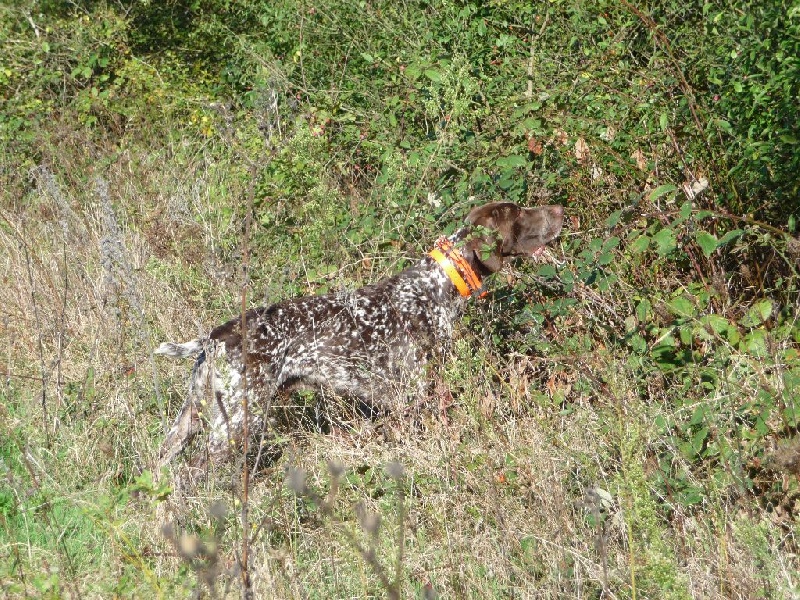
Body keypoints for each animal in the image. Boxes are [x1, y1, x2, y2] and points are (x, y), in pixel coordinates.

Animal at [156, 204, 564, 472]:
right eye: (520, 213)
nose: (560, 209)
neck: (435, 287)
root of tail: (214, 338)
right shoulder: (416, 396)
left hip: (191, 419)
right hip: (238, 419)